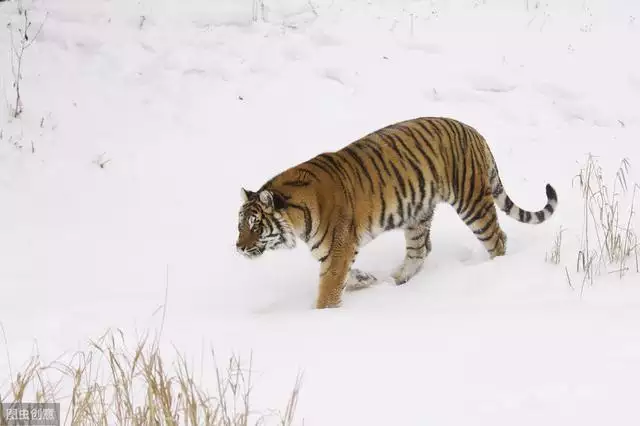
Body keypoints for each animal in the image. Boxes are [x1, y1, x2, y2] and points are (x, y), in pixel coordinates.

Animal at [235, 116, 556, 310]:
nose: (238, 248)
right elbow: (347, 276)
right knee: (420, 250)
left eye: (255, 226)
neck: (297, 217)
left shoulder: (338, 250)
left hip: (472, 202)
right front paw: (366, 280)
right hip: (417, 214)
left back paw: (494, 270)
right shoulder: (336, 253)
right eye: (239, 225)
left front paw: (321, 315)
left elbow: (328, 290)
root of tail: (474, 131)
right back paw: (397, 280)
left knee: (497, 239)